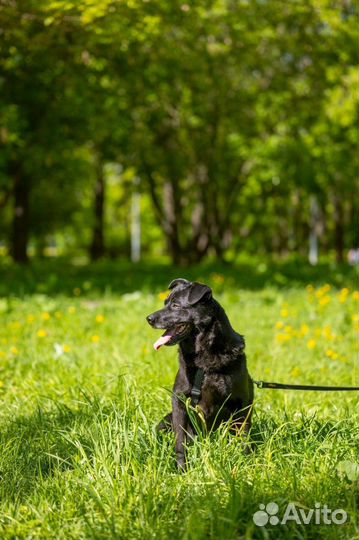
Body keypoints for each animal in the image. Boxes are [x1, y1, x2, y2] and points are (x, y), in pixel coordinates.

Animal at [146, 278, 253, 468]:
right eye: (165, 303)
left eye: (175, 305)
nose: (149, 319)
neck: (203, 362)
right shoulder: (179, 401)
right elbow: (180, 441)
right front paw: (182, 468)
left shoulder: (243, 402)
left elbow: (244, 437)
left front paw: (247, 462)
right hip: (166, 420)